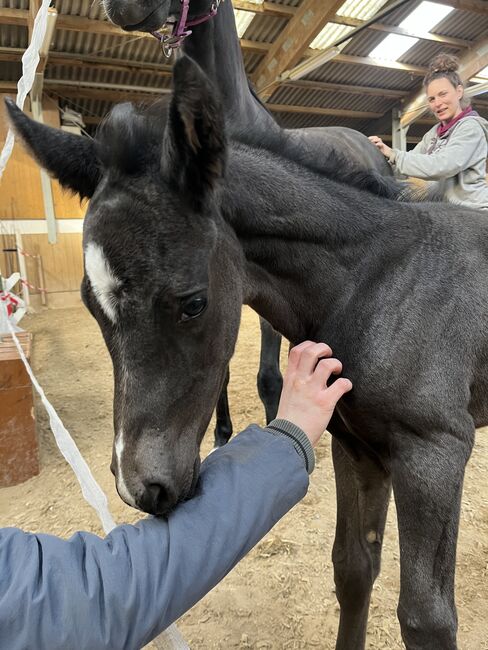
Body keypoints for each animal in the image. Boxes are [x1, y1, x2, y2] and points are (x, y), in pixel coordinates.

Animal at [6, 57, 484, 648]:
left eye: (193, 303)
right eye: (92, 306)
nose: (142, 489)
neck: (377, 279)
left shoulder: (434, 453)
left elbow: (426, 619)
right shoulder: (356, 444)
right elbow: (353, 568)